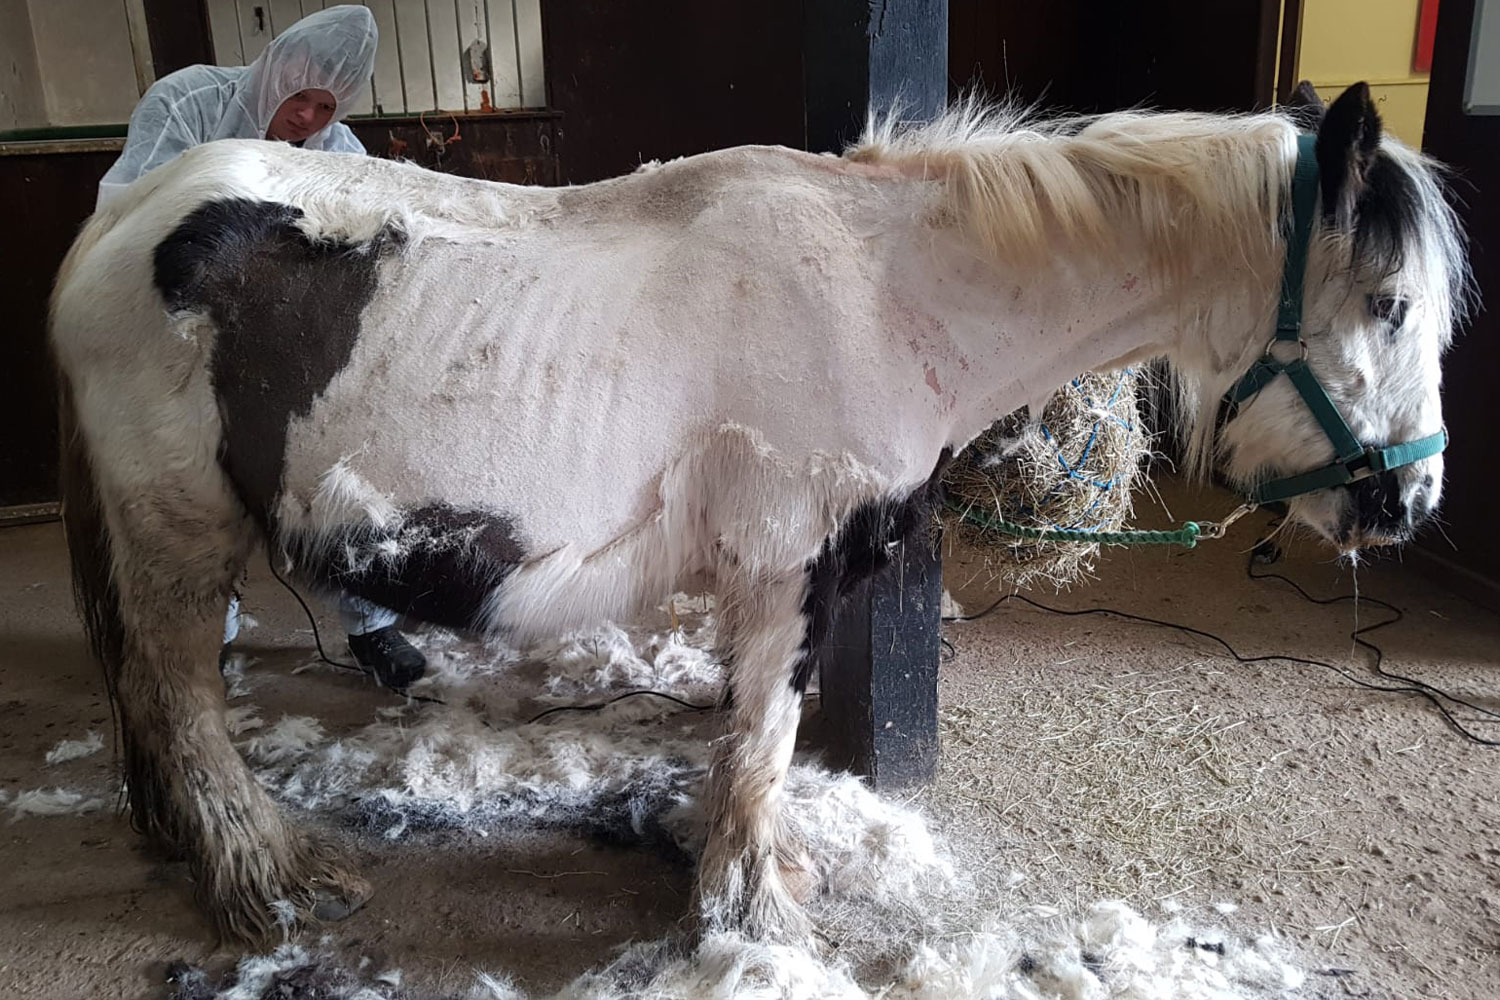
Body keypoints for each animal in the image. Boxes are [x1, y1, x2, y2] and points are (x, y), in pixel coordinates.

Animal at [49, 81, 1467, 944]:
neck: (888, 289)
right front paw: (756, 911)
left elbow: (747, 744)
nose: (1410, 500)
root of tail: (118, 221)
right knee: (183, 707)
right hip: (180, 542)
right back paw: (269, 878)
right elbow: (767, 742)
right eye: (1391, 304)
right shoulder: (790, 570)